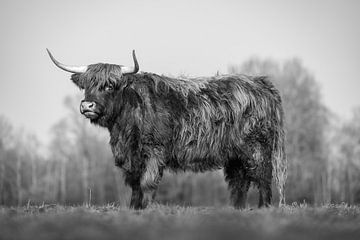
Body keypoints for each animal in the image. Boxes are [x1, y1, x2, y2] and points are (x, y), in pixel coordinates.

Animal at [46, 48, 286, 208]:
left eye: (109, 86)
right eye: (87, 86)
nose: (87, 105)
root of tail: (261, 83)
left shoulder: (154, 151)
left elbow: (147, 183)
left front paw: (147, 209)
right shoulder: (132, 158)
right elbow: (135, 185)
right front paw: (134, 210)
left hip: (257, 148)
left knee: (263, 177)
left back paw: (263, 208)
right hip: (235, 155)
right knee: (239, 183)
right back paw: (237, 210)